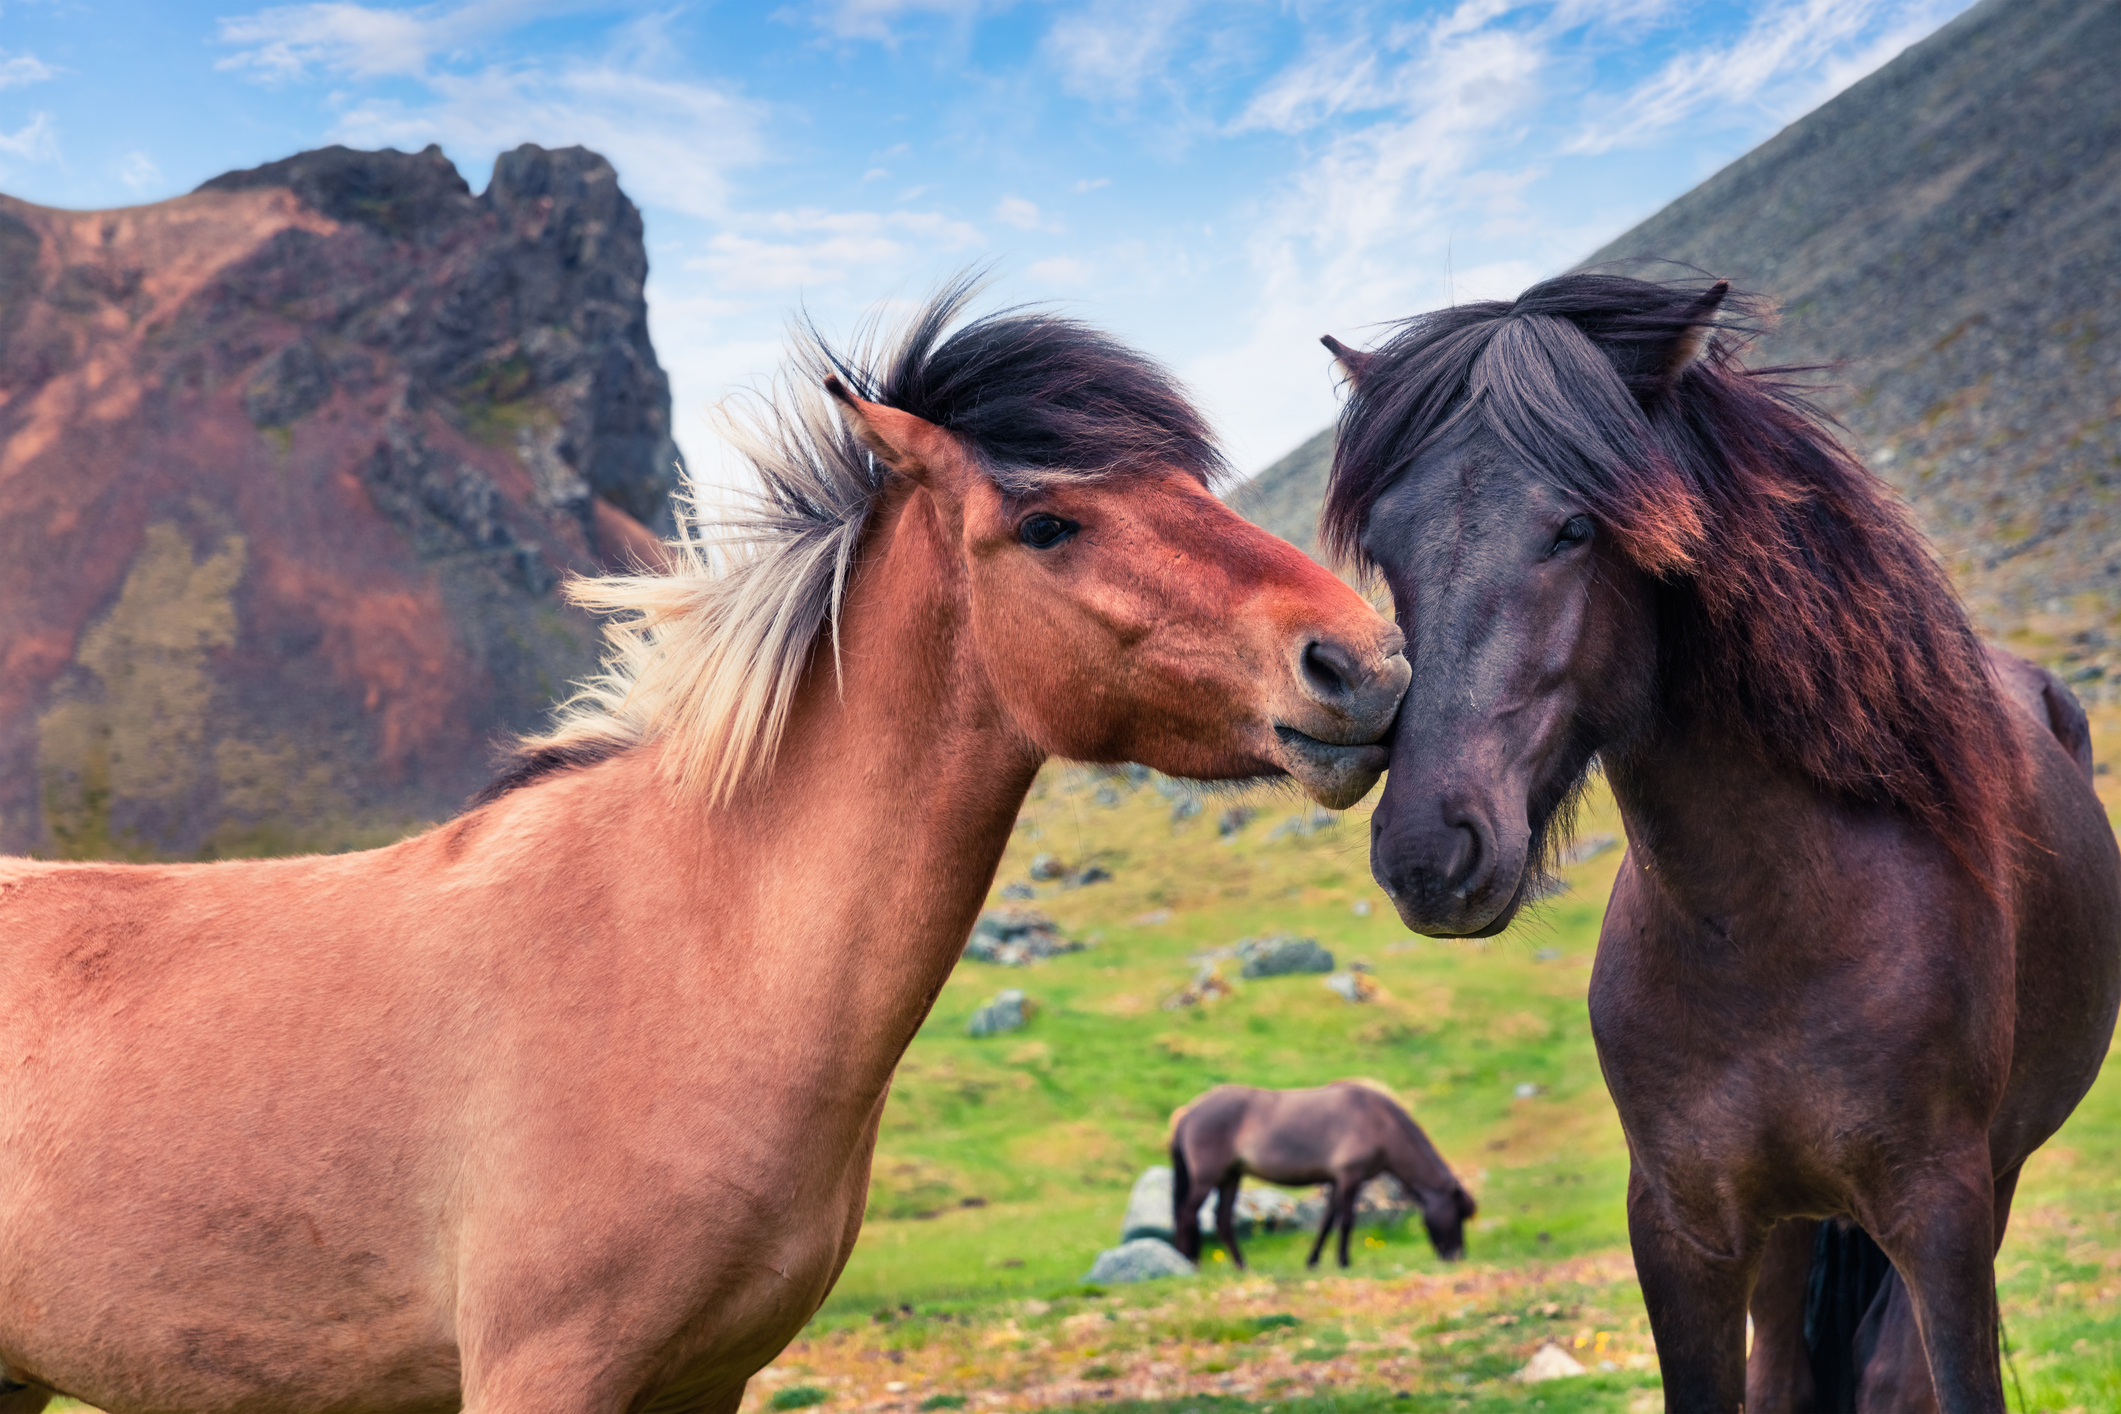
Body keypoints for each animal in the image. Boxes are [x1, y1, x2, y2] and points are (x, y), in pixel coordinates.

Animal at [1169, 1081, 1474, 1270]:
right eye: (1458, 1214)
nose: (1457, 1256)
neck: (1379, 1122)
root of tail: (1189, 1113)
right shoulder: (1350, 1178)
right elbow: (1347, 1221)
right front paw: (1344, 1261)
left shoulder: (1335, 1181)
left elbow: (1327, 1222)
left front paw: (1312, 1261)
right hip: (1207, 1178)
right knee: (1187, 1213)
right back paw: (1188, 1262)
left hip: (1231, 1176)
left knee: (1221, 1220)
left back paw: (1241, 1265)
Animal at [1319, 273, 2121, 1414]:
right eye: (1387, 551)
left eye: (1574, 527)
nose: (1429, 851)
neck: (1769, 926)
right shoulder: (1681, 1229)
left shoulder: (1944, 1213)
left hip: (1987, 1179)